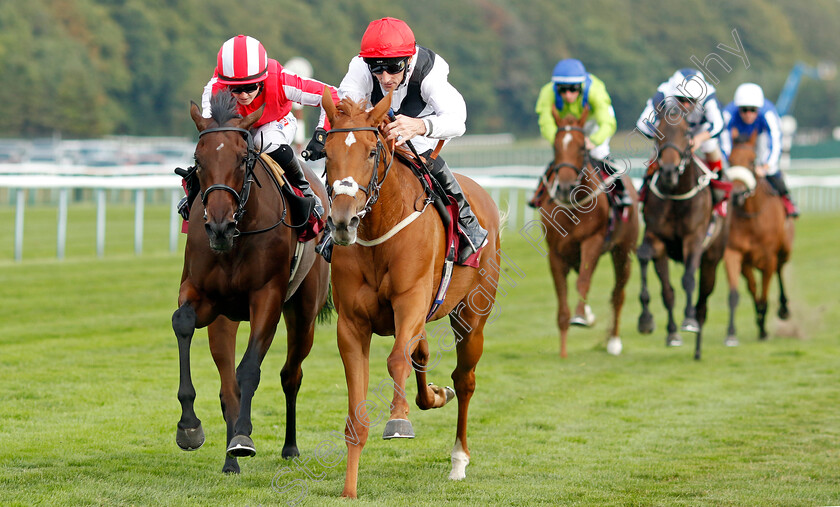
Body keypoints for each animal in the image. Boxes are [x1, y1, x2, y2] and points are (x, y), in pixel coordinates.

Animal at [173, 90, 332, 472]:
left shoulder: (268, 298)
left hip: (303, 314)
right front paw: (189, 426)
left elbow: (250, 370)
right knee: (226, 383)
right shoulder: (202, 295)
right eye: (198, 160)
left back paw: (289, 446)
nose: (219, 225)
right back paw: (229, 460)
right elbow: (182, 322)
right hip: (225, 319)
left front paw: (243, 437)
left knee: (291, 375)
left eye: (242, 159)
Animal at [318, 91, 496, 500]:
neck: (378, 229)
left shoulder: (410, 301)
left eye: (371, 152)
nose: (342, 221)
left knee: (463, 379)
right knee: (423, 354)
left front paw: (398, 421)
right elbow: (358, 412)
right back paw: (433, 394)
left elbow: (396, 358)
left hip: (472, 316)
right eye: (328, 153)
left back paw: (458, 459)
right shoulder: (352, 325)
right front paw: (349, 489)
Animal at [540, 109, 636, 360]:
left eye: (582, 148)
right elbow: (562, 297)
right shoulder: (555, 252)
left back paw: (613, 341)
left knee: (618, 294)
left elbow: (583, 281)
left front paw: (581, 317)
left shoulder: (592, 241)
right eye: (555, 146)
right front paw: (563, 351)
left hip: (623, 251)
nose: (564, 187)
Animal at [636, 101, 728, 360]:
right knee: (670, 292)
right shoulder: (656, 239)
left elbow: (688, 278)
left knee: (703, 301)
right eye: (659, 131)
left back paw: (697, 346)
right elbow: (647, 262)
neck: (676, 196)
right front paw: (647, 320)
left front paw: (688, 320)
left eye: (687, 133)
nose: (668, 171)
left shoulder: (694, 239)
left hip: (712, 258)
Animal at [720, 129, 796, 348]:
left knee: (780, 270)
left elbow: (763, 295)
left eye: (752, 161)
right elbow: (741, 292)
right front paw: (732, 333)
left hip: (784, 250)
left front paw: (763, 330)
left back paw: (784, 309)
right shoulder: (735, 254)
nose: (737, 194)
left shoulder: (768, 257)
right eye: (730, 160)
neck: (751, 217)